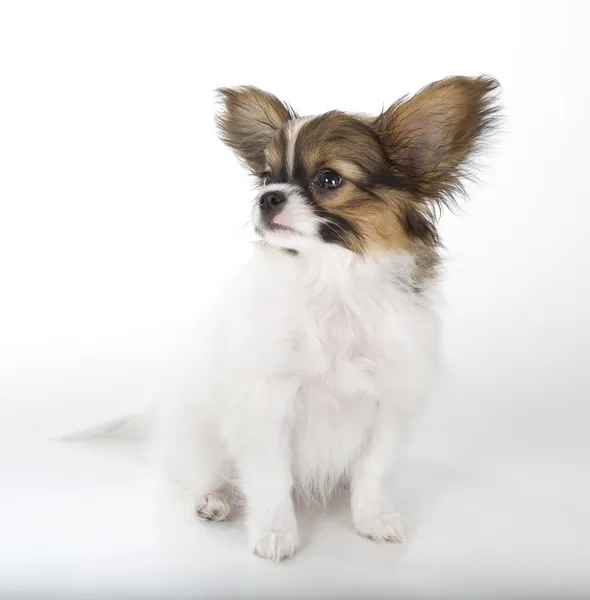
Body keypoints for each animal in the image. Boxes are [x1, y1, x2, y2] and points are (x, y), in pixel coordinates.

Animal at [154, 76, 500, 564]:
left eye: (329, 179)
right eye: (267, 177)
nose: (267, 197)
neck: (333, 281)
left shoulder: (388, 404)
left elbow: (374, 471)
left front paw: (374, 519)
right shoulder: (267, 404)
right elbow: (270, 478)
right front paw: (275, 533)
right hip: (199, 438)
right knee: (194, 477)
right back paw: (212, 499)